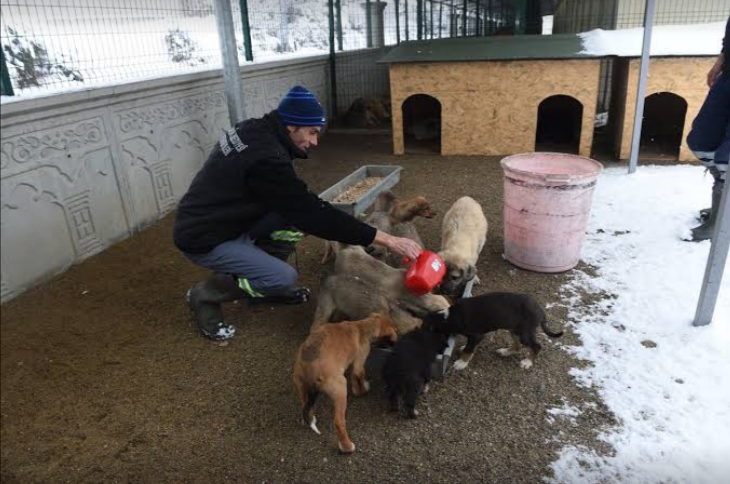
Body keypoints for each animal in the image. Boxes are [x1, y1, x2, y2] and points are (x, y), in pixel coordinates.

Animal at [292, 314, 398, 454]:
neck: (362, 326)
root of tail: (309, 368)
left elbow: (355, 380)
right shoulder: (359, 364)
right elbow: (359, 378)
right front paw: (363, 389)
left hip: (301, 386)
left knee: (305, 405)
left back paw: (311, 418)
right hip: (340, 388)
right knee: (339, 423)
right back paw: (347, 446)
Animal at [424, 292, 560, 370]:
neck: (448, 318)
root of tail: (541, 311)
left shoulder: (477, 335)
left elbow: (469, 349)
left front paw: (461, 363)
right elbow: (470, 347)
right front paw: (463, 350)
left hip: (524, 333)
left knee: (536, 346)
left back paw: (527, 362)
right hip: (515, 330)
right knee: (518, 346)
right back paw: (505, 352)